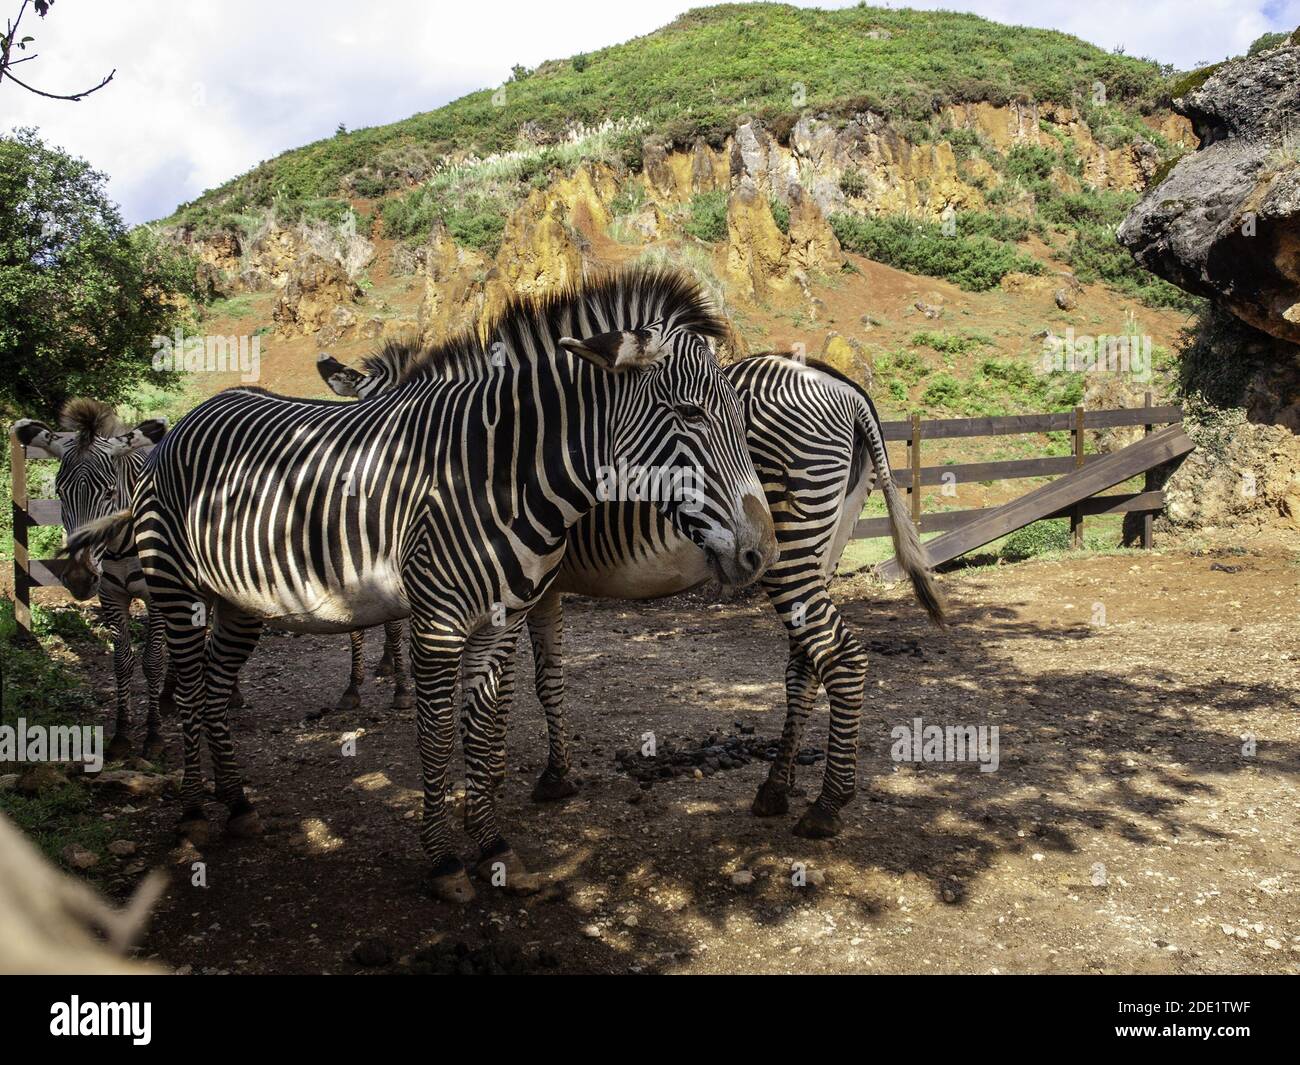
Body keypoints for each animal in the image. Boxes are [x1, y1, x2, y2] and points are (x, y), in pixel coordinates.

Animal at [13, 400, 170, 761]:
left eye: (110, 492)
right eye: (60, 492)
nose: (80, 578)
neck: (121, 544)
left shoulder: (155, 596)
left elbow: (153, 661)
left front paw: (154, 736)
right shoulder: (109, 594)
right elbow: (122, 662)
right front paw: (121, 736)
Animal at [65, 267, 776, 903]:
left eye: (739, 418)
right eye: (687, 412)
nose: (761, 552)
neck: (498, 476)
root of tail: (197, 411)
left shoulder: (502, 623)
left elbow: (484, 731)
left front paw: (493, 848)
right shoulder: (437, 624)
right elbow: (436, 735)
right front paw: (443, 862)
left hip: (239, 603)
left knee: (214, 689)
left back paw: (237, 805)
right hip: (176, 590)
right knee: (188, 692)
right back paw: (191, 816)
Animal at [321, 346, 945, 838]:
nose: (353, 516)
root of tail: (841, 384)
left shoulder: (512, 586)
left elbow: (500, 688)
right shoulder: (542, 585)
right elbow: (548, 682)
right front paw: (555, 775)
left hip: (791, 547)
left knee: (839, 656)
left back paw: (827, 804)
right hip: (823, 547)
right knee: (806, 662)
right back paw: (776, 786)